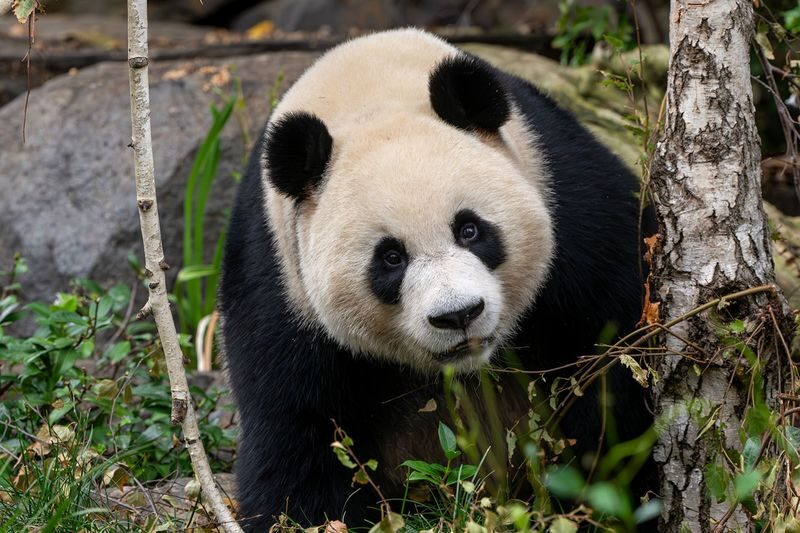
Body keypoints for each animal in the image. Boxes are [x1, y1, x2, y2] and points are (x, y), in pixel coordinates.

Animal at [218, 28, 654, 530]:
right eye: (390, 258)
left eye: (469, 230)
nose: (459, 315)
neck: (368, 95)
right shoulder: (278, 281)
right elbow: (296, 429)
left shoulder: (567, 196)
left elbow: (613, 356)